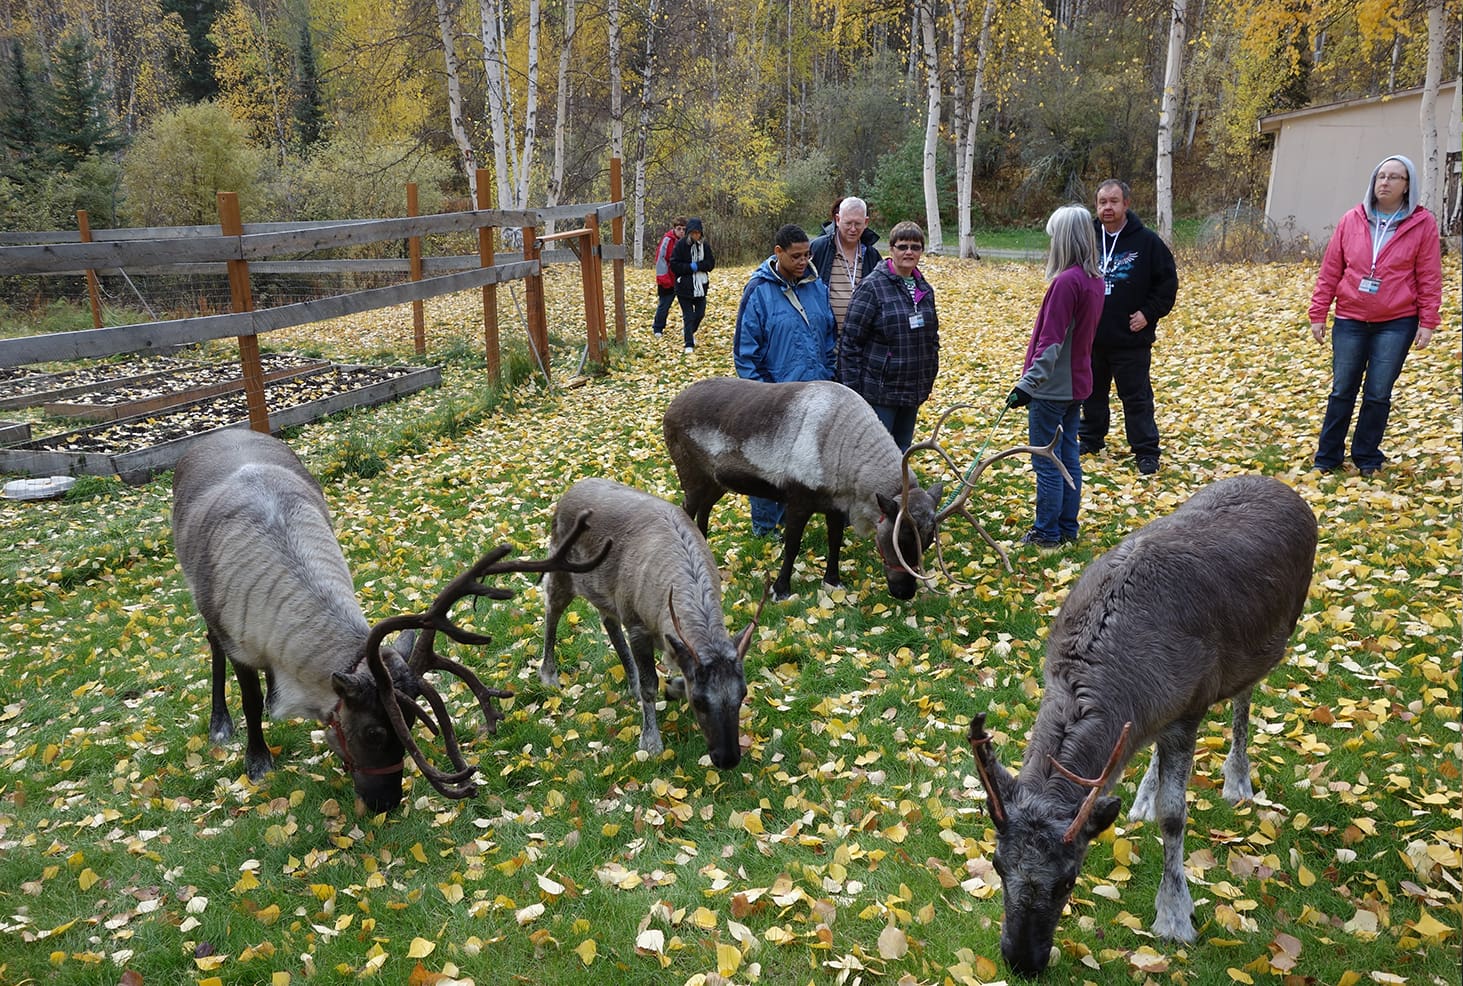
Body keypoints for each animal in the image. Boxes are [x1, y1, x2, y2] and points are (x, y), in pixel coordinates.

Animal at [171, 429, 606, 813]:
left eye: (411, 726)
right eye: (374, 732)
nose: (387, 804)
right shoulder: (238, 640)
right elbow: (245, 697)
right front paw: (257, 759)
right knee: (212, 647)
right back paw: (220, 723)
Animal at [539, 478, 764, 768]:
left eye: (743, 694)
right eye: (699, 701)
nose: (728, 759)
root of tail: (569, 492)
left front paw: (673, 687)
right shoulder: (637, 626)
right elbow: (649, 686)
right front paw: (650, 741)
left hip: (605, 593)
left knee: (608, 622)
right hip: (562, 571)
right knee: (552, 612)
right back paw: (549, 675)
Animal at [663, 378, 1070, 601]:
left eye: (929, 538)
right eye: (900, 537)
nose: (905, 593)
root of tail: (670, 406)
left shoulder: (833, 504)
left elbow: (834, 542)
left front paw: (833, 581)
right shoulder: (798, 497)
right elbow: (792, 546)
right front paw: (781, 589)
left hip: (716, 482)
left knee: (702, 514)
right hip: (691, 474)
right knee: (685, 509)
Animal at [965, 474, 1317, 977]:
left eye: (1069, 879)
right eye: (996, 864)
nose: (1022, 962)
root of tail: (1288, 490)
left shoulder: (1190, 710)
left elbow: (1175, 817)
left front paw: (1175, 916)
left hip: (1269, 642)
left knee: (1243, 702)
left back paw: (1237, 780)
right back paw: (1143, 796)